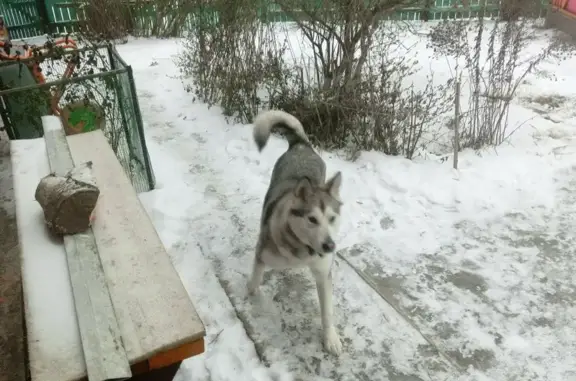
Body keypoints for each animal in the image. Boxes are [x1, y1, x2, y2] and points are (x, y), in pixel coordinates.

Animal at [248, 108, 342, 354]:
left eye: (332, 218)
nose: (330, 246)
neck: (302, 250)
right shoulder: (262, 253)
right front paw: (251, 290)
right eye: (312, 219)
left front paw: (331, 338)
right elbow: (255, 276)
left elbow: (327, 311)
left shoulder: (323, 272)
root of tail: (301, 144)